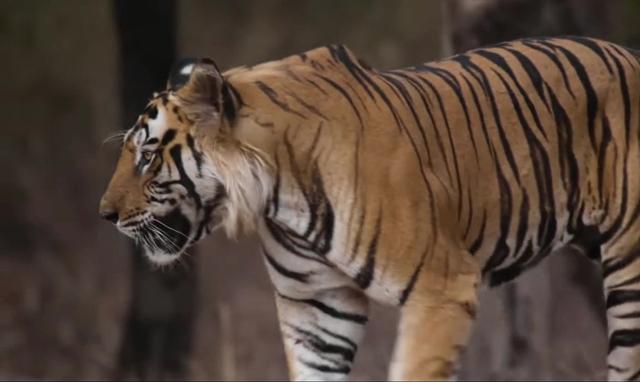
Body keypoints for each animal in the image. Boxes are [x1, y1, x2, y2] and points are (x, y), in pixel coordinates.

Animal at [99, 36, 640, 382]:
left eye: (147, 156)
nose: (105, 215)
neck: (280, 196)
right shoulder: (315, 307)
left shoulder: (442, 288)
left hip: (629, 270)